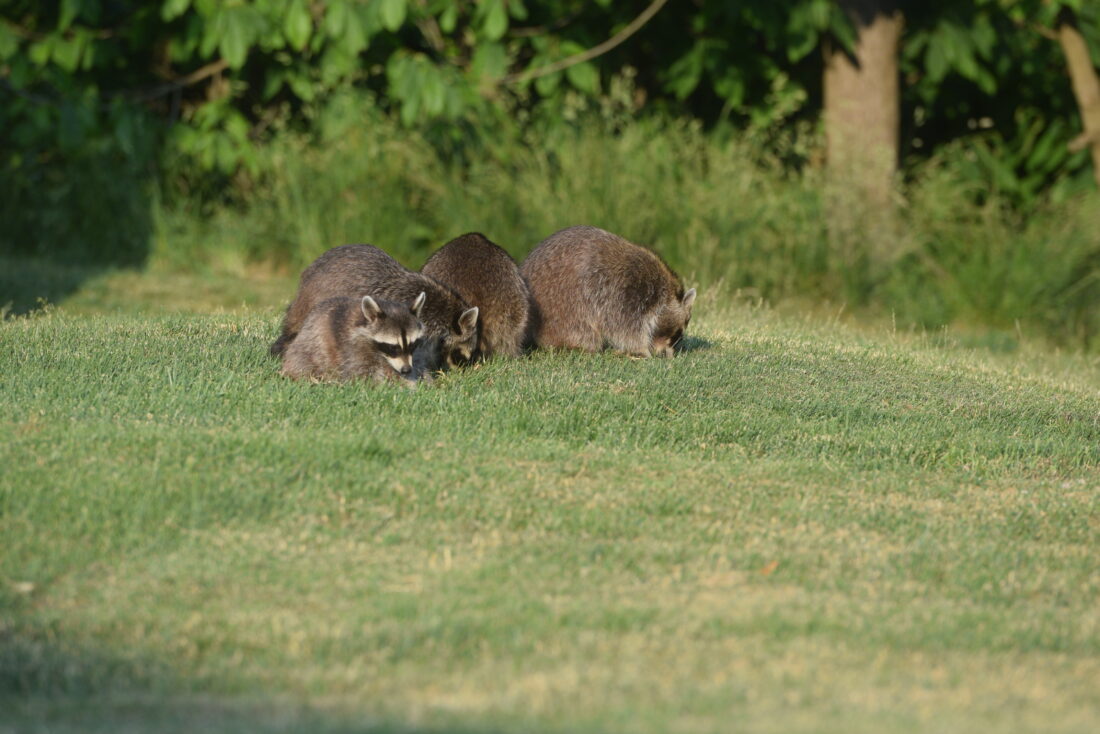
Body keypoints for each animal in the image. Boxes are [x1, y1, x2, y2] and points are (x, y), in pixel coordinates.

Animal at [280, 293, 426, 383]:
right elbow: (359, 373)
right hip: (311, 342)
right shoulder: (352, 344)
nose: (406, 370)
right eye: (392, 347)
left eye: (412, 345)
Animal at [520, 225, 696, 358]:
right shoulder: (626, 292)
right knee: (584, 330)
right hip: (564, 306)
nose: (669, 354)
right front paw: (642, 349)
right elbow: (625, 328)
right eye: (676, 333)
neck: (666, 292)